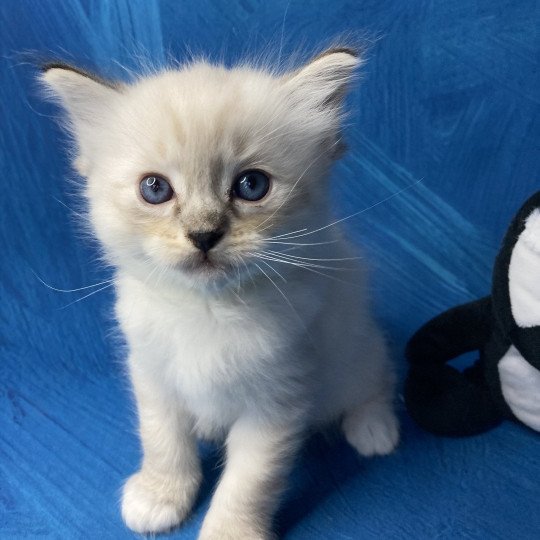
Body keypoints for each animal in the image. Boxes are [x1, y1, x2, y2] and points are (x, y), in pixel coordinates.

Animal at [41, 47, 396, 540]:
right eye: (155, 189)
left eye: (251, 186)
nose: (204, 235)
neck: (207, 311)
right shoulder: (154, 375)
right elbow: (163, 443)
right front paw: (161, 497)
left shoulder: (276, 402)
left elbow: (248, 483)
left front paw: (229, 531)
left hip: (353, 351)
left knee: (376, 380)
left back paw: (375, 431)